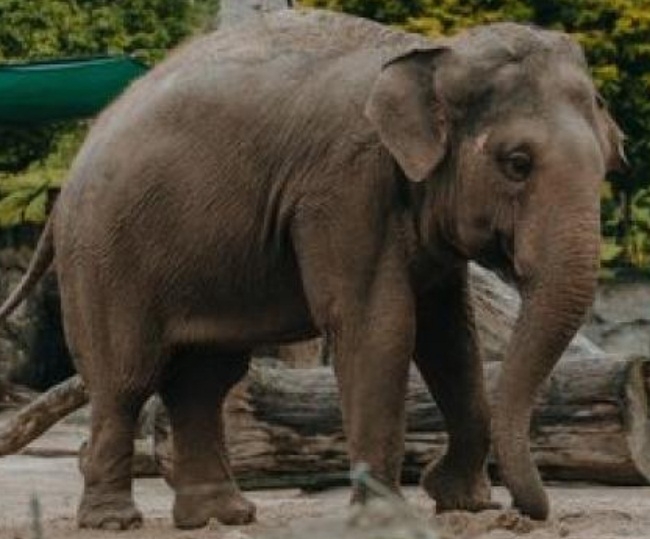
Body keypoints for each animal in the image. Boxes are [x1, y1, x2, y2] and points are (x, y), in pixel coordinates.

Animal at [0, 8, 624, 531]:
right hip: (105, 254)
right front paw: (387, 518)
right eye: (516, 164)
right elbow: (381, 327)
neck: (431, 57)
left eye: (606, 165)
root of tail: (72, 170)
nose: (527, 514)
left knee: (204, 378)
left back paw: (221, 516)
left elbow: (451, 337)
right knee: (126, 378)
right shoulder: (343, 187)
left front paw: (463, 503)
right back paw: (116, 521)